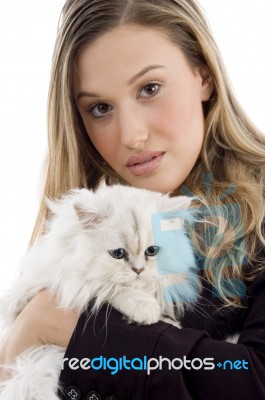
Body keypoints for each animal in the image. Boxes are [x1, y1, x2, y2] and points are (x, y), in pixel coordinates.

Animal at [0, 186, 198, 398]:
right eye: (118, 254)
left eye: (152, 251)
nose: (138, 270)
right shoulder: (67, 282)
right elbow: (110, 289)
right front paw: (145, 309)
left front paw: (168, 323)